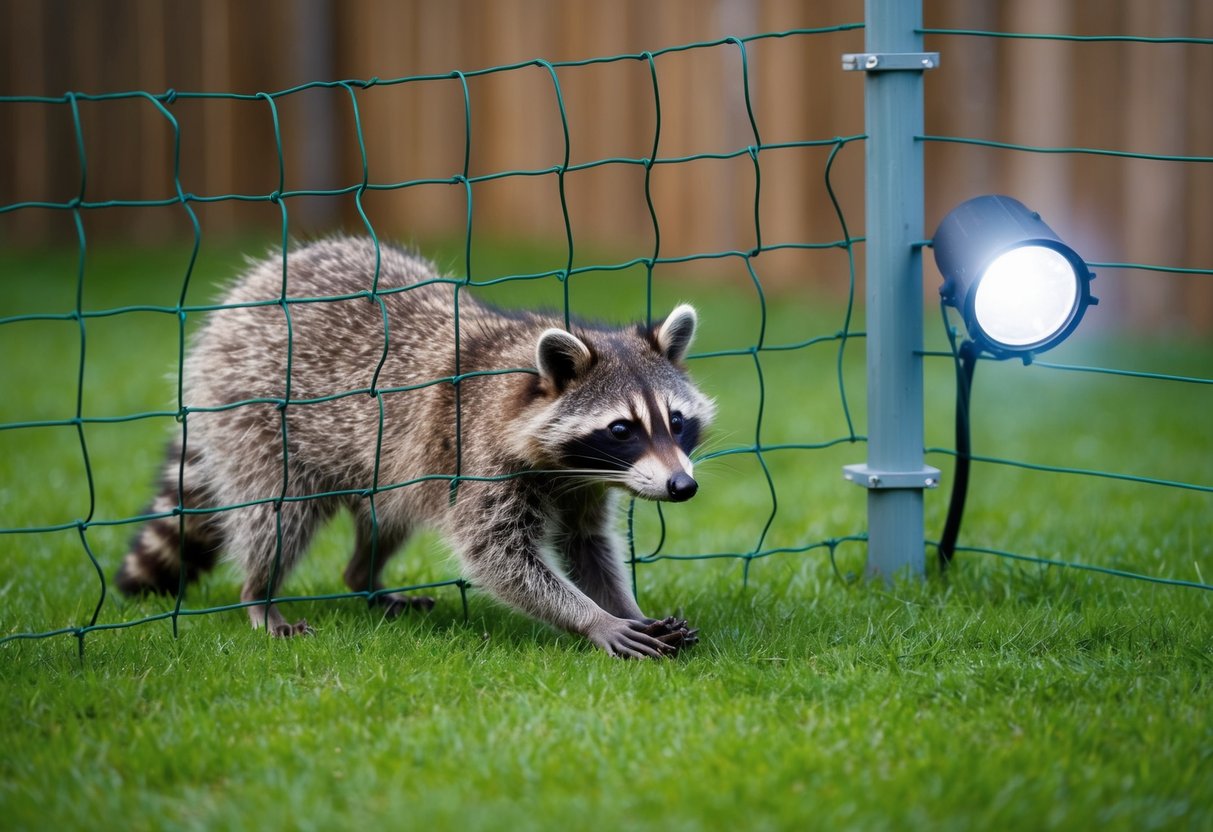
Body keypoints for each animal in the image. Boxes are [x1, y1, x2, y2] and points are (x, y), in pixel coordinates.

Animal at [116, 237, 715, 658]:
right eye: (622, 430)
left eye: (676, 422)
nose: (682, 486)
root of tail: (249, 292)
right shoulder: (480, 461)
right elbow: (497, 556)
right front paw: (594, 619)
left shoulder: (583, 482)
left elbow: (586, 544)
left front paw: (625, 606)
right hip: (254, 415)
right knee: (278, 516)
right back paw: (259, 594)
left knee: (386, 519)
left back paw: (364, 577)